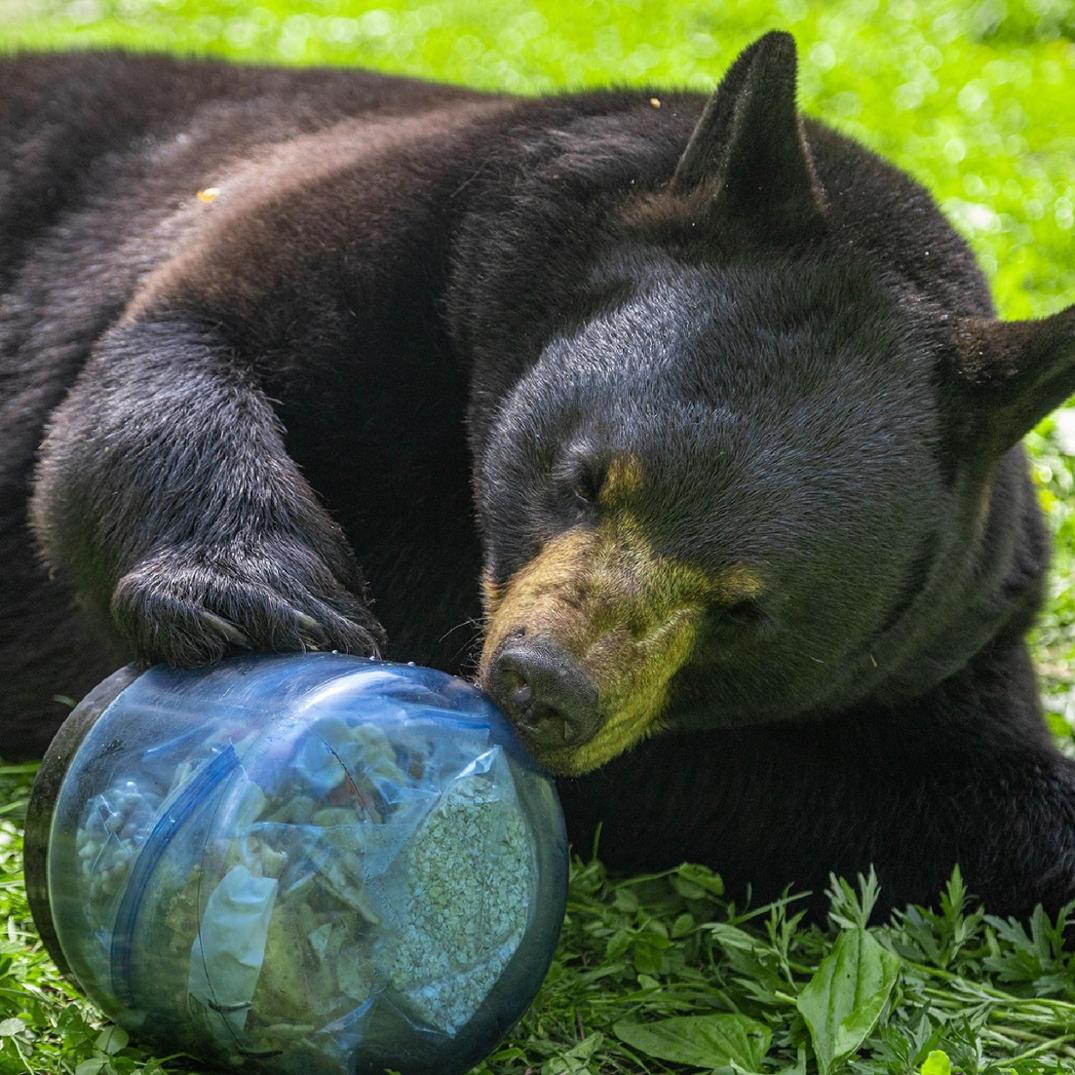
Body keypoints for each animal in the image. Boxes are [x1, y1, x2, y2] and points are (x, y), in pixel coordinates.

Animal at [2, 31, 1074, 921]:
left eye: (744, 608)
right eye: (587, 478)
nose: (541, 683)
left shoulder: (954, 642)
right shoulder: (389, 219)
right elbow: (172, 345)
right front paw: (263, 599)